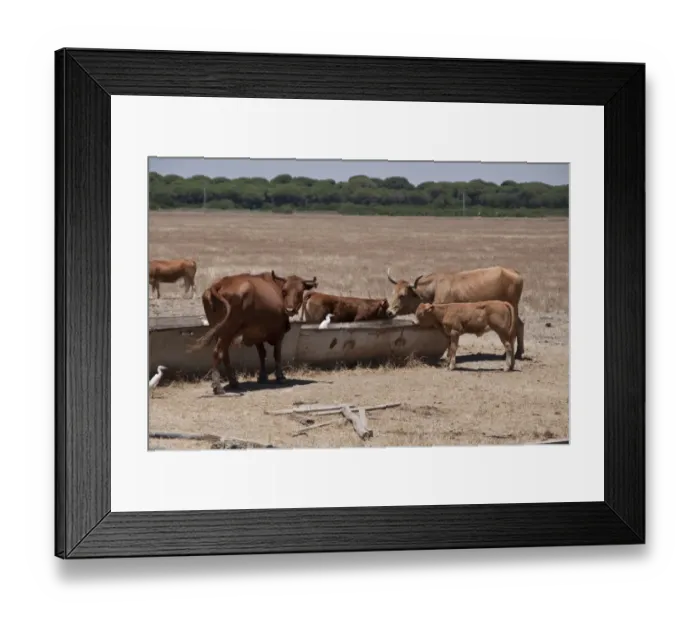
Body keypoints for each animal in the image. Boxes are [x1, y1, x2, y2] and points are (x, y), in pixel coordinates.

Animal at [386, 265, 526, 359]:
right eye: (393, 292)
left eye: (402, 295)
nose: (389, 312)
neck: (435, 288)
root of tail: (514, 272)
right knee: (520, 325)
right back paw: (517, 353)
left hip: (513, 307)